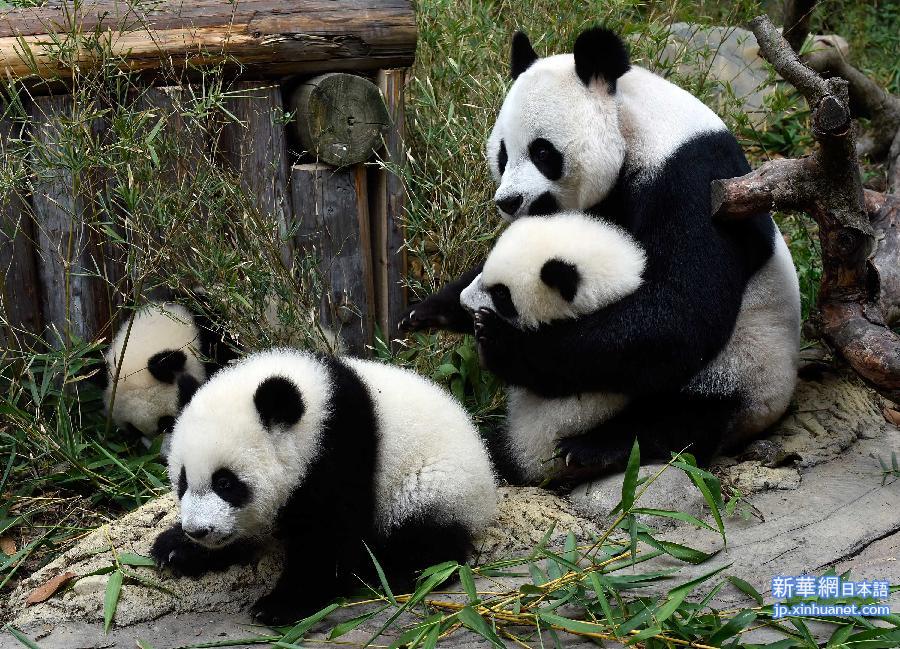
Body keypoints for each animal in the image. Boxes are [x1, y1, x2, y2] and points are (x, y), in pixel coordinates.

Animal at [150, 346, 496, 624]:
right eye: (182, 482)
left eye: (225, 482)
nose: (198, 530)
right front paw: (176, 548)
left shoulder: (341, 449)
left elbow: (330, 535)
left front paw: (280, 605)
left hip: (436, 484)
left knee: (428, 533)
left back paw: (398, 571)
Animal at [398, 27, 800, 478]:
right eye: (502, 154)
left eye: (542, 152)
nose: (508, 201)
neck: (632, 125)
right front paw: (428, 311)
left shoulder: (698, 182)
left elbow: (680, 311)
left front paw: (505, 345)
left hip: (749, 362)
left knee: (689, 412)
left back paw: (598, 448)